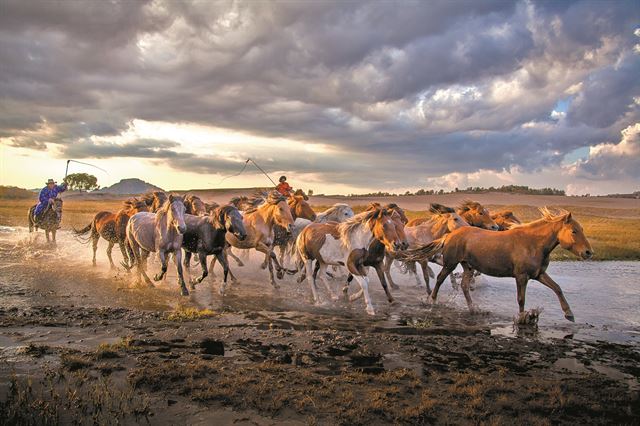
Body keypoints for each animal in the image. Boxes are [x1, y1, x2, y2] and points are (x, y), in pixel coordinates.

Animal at [400, 208, 596, 322]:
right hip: (450, 263)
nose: (588, 252)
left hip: (467, 266)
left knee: (464, 286)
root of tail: (450, 234)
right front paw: (523, 318)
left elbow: (557, 288)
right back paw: (432, 300)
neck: (533, 242)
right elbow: (521, 299)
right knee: (440, 279)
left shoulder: (538, 274)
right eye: (574, 231)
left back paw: (474, 309)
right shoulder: (521, 276)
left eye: (581, 229)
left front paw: (569, 314)